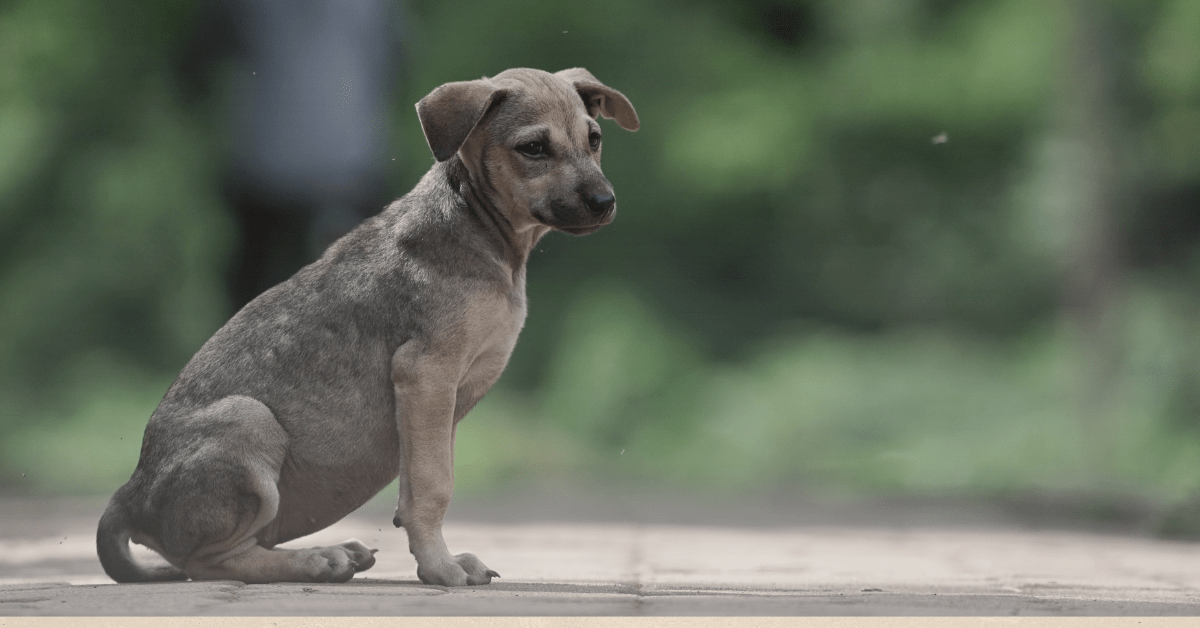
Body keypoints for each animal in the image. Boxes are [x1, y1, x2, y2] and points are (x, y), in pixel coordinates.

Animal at [96, 66, 638, 588]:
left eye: (594, 139)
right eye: (533, 148)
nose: (605, 201)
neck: (482, 229)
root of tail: (128, 494)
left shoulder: (441, 402)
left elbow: (417, 485)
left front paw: (437, 558)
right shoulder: (425, 374)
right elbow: (434, 487)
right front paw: (440, 569)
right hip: (250, 420)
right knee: (210, 561)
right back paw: (318, 561)